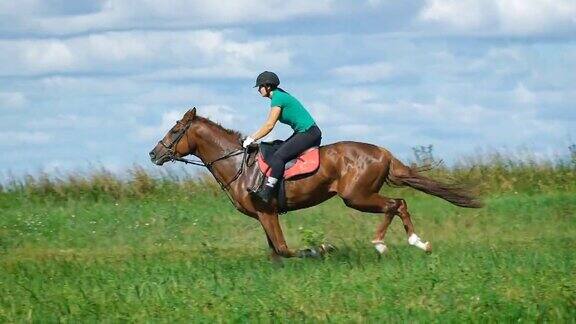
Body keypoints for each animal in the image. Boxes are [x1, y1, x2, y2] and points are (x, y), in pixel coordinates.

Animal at [148, 108, 482, 258]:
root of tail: (383, 152)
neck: (238, 165)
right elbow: (275, 252)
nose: (153, 153)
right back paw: (410, 242)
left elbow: (285, 249)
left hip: (356, 196)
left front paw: (322, 248)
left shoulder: (267, 212)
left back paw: (397, 242)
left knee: (396, 203)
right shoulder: (262, 216)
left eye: (175, 130)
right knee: (397, 204)